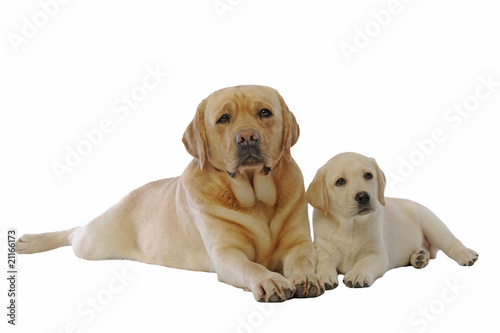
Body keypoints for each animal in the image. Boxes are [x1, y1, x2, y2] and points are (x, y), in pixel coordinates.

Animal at [16, 85, 324, 300]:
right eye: (223, 119)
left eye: (265, 113)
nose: (247, 137)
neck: (255, 198)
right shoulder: (227, 254)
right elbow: (253, 267)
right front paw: (270, 280)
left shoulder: (298, 244)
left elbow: (303, 261)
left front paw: (306, 278)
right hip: (93, 243)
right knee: (74, 232)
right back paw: (29, 241)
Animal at [306, 152, 478, 290]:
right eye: (340, 182)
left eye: (368, 175)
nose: (363, 196)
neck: (350, 225)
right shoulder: (323, 250)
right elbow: (323, 263)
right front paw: (324, 276)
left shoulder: (377, 254)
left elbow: (364, 262)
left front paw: (357, 274)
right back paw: (419, 257)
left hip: (433, 225)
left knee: (452, 243)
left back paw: (466, 255)